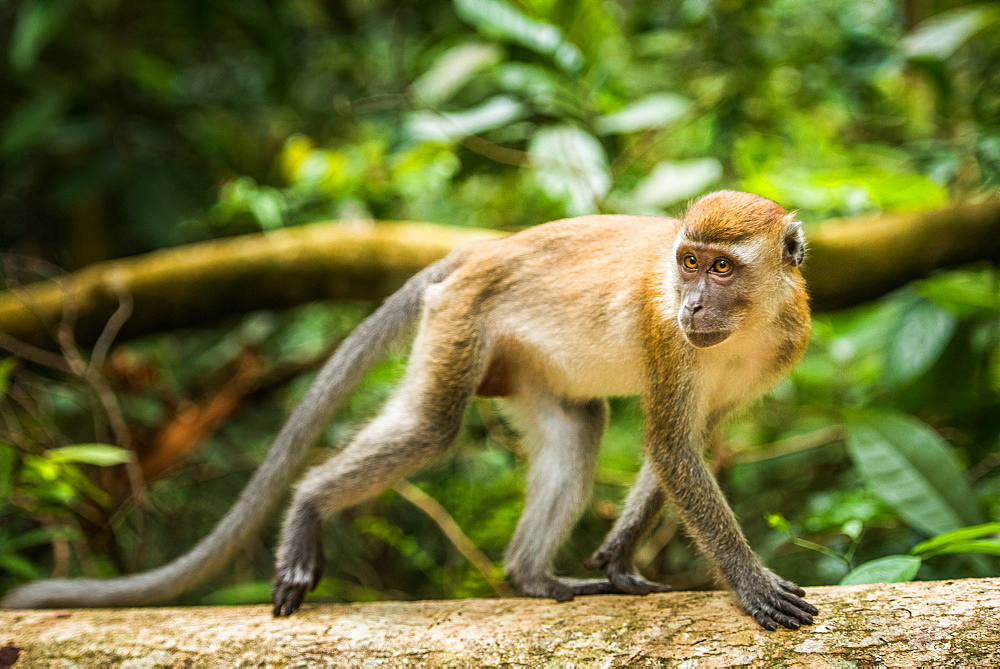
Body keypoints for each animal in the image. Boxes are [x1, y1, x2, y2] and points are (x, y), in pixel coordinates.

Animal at [3, 189, 820, 632]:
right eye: (687, 262)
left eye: (723, 267)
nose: (693, 304)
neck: (747, 322)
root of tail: (481, 253)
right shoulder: (663, 333)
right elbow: (671, 445)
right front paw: (748, 581)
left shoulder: (784, 343)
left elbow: (687, 444)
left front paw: (618, 560)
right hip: (463, 320)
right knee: (431, 427)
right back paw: (308, 507)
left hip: (513, 356)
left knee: (574, 426)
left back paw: (532, 576)